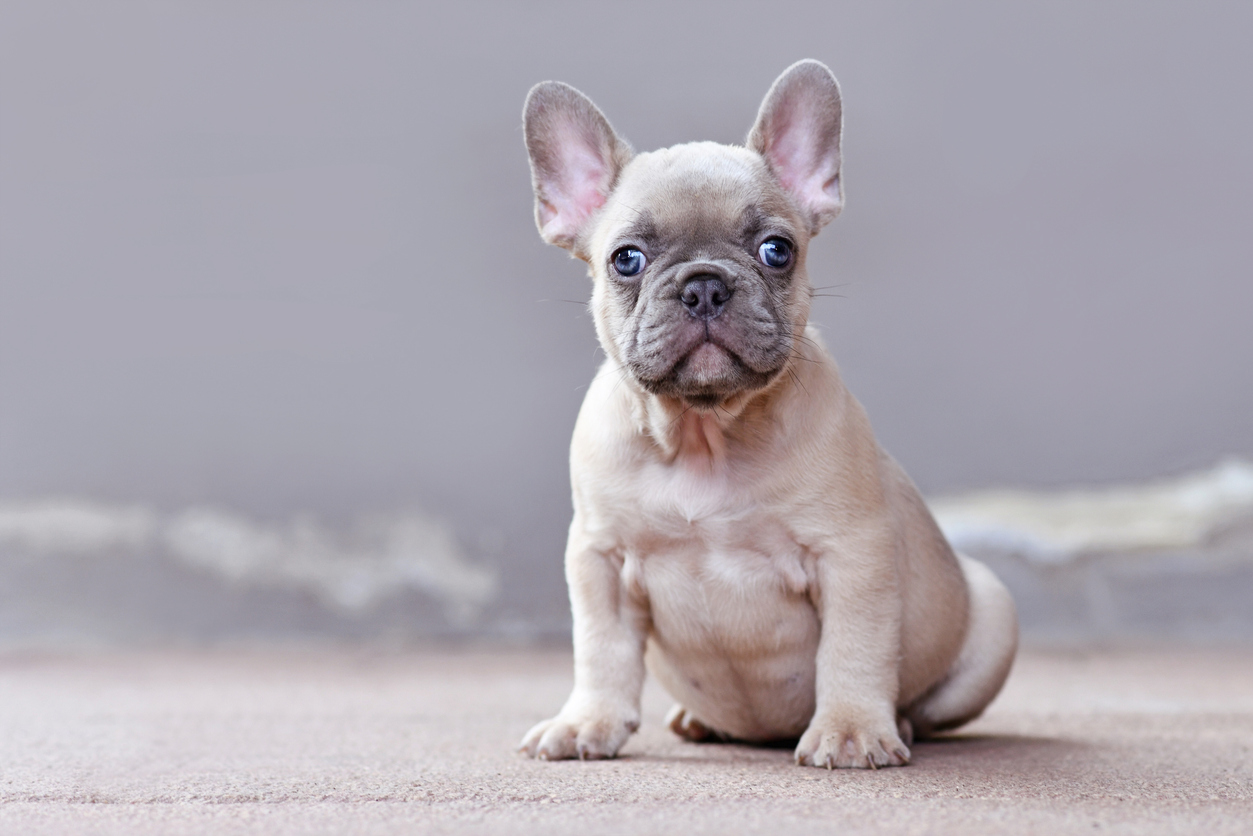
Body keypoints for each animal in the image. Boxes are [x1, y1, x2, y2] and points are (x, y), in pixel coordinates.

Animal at [518, 60, 1017, 772]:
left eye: (777, 250)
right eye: (626, 259)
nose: (704, 284)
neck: (705, 436)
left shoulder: (852, 556)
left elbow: (853, 649)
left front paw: (850, 730)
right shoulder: (599, 559)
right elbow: (602, 649)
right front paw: (588, 722)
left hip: (993, 617)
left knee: (929, 705)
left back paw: (898, 722)